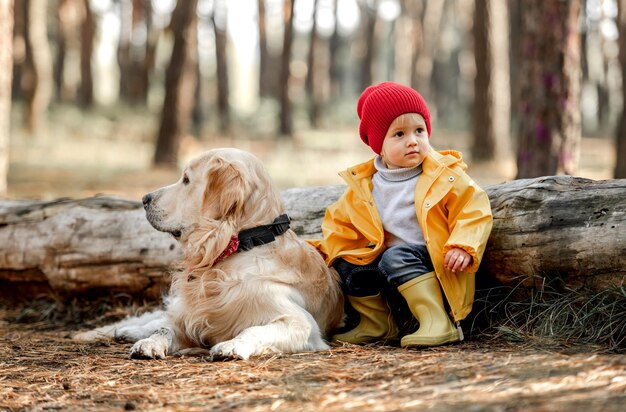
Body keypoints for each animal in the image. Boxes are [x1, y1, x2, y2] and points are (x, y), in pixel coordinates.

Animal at [77, 149, 346, 360]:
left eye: (186, 179)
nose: (144, 198)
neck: (242, 244)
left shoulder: (301, 323)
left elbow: (253, 329)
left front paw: (232, 345)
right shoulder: (191, 315)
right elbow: (165, 329)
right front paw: (149, 343)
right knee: (160, 319)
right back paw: (128, 331)